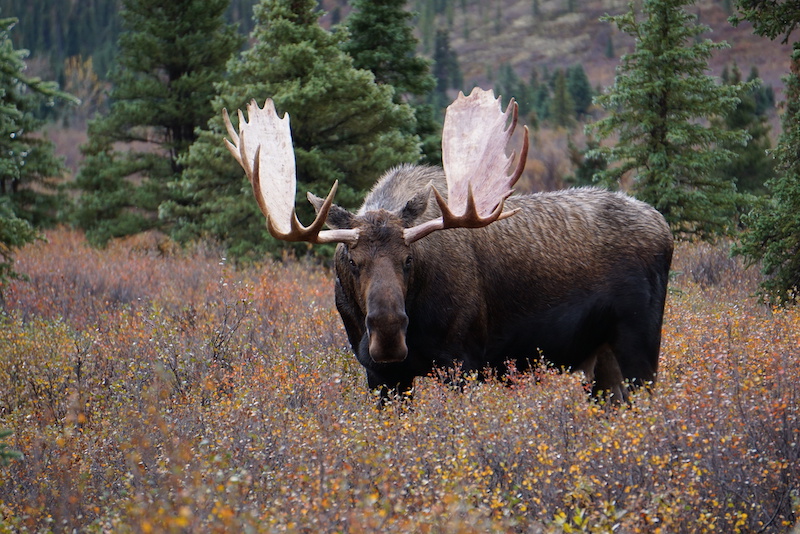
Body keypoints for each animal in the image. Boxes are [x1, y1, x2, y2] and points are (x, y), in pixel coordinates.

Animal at [225, 90, 676, 404]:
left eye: (408, 259)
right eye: (352, 261)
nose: (388, 332)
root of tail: (665, 227)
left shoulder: (465, 363)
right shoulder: (381, 377)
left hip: (640, 344)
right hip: (600, 358)